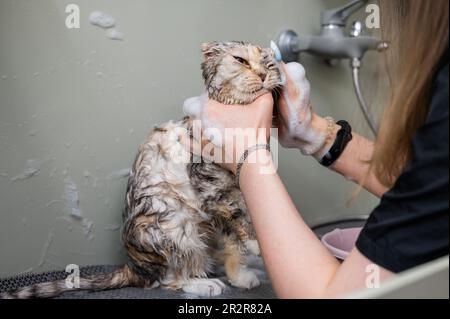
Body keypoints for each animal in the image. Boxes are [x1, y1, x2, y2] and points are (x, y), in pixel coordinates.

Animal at [0, 41, 282, 298]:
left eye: (269, 64)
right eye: (240, 60)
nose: (262, 74)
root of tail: (134, 267)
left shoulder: (230, 196)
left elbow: (232, 242)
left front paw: (241, 274)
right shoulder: (212, 187)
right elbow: (238, 219)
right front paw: (257, 242)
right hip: (176, 222)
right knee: (166, 279)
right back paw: (202, 283)